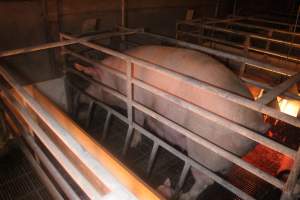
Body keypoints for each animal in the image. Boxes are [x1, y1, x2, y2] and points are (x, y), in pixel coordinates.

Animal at [74, 45, 270, 200]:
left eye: (94, 80)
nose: (82, 95)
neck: (117, 78)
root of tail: (257, 123)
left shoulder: (137, 102)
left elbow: (137, 123)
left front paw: (135, 143)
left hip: (205, 153)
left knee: (205, 181)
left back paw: (185, 196)